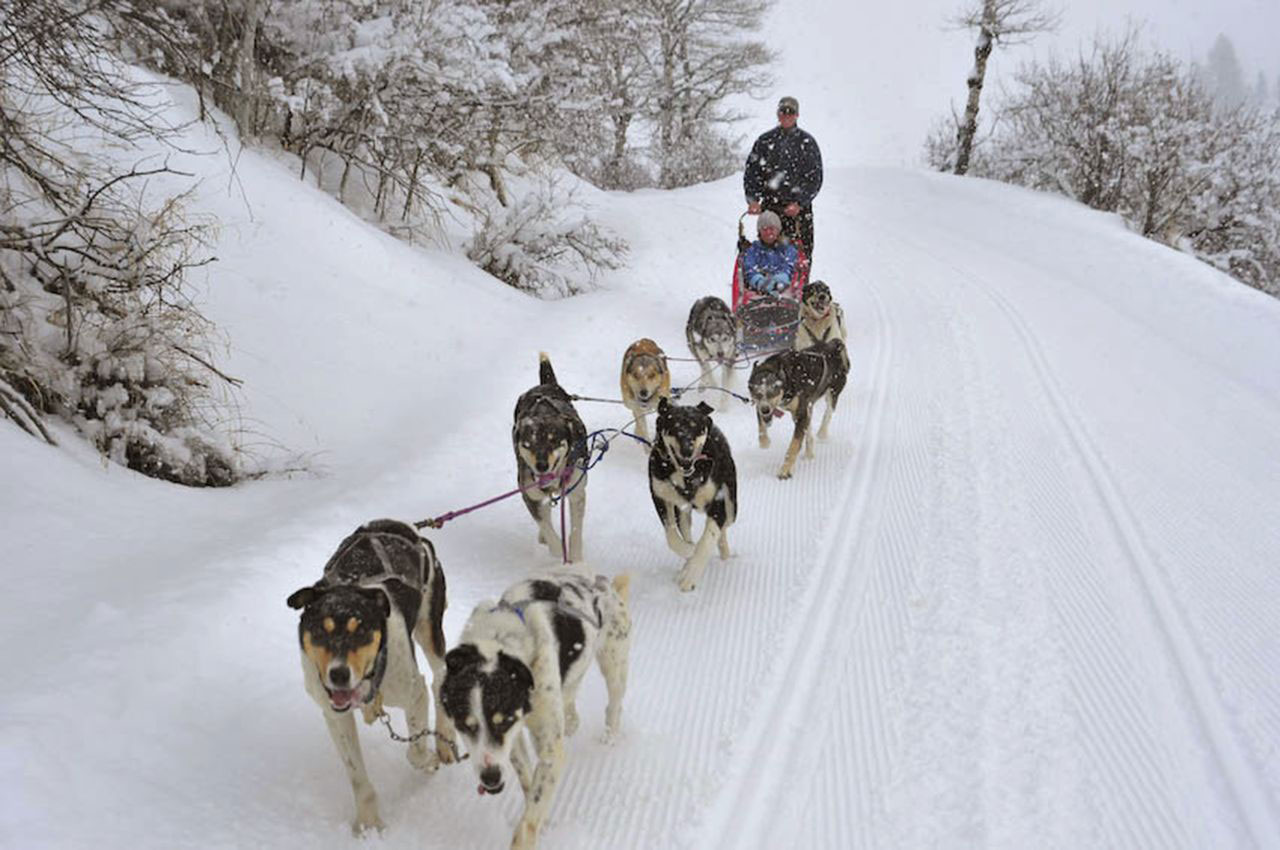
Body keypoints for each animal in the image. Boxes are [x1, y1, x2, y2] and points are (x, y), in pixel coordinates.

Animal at [288, 522, 458, 834]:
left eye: (362, 630)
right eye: (319, 631)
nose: (339, 674)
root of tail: (407, 527)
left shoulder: (413, 693)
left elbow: (415, 752)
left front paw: (428, 760)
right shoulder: (336, 716)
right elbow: (357, 777)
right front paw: (369, 824)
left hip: (430, 626)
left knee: (439, 678)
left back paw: (444, 742)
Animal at [512, 353, 586, 563]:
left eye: (554, 441)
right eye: (528, 444)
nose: (542, 465)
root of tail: (545, 385)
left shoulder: (577, 492)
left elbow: (576, 531)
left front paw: (575, 557)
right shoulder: (529, 494)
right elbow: (545, 525)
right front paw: (558, 553)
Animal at [747, 340, 844, 483]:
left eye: (772, 391)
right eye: (757, 393)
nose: (765, 410)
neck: (787, 378)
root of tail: (832, 345)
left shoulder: (801, 414)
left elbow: (794, 445)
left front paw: (785, 470)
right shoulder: (759, 406)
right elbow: (761, 428)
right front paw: (765, 442)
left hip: (832, 393)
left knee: (828, 413)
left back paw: (822, 432)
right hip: (806, 408)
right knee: (809, 431)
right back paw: (809, 453)